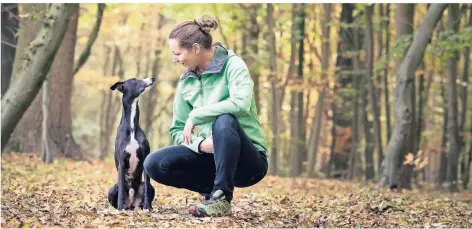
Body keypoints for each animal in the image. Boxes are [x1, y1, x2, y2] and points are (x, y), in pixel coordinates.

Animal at [108, 78, 155, 210]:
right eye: (134, 80)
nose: (152, 78)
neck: (132, 127)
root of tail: (131, 204)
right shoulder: (122, 162)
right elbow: (120, 193)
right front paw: (119, 209)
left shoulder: (145, 159)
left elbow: (147, 188)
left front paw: (147, 208)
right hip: (112, 189)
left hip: (148, 188)